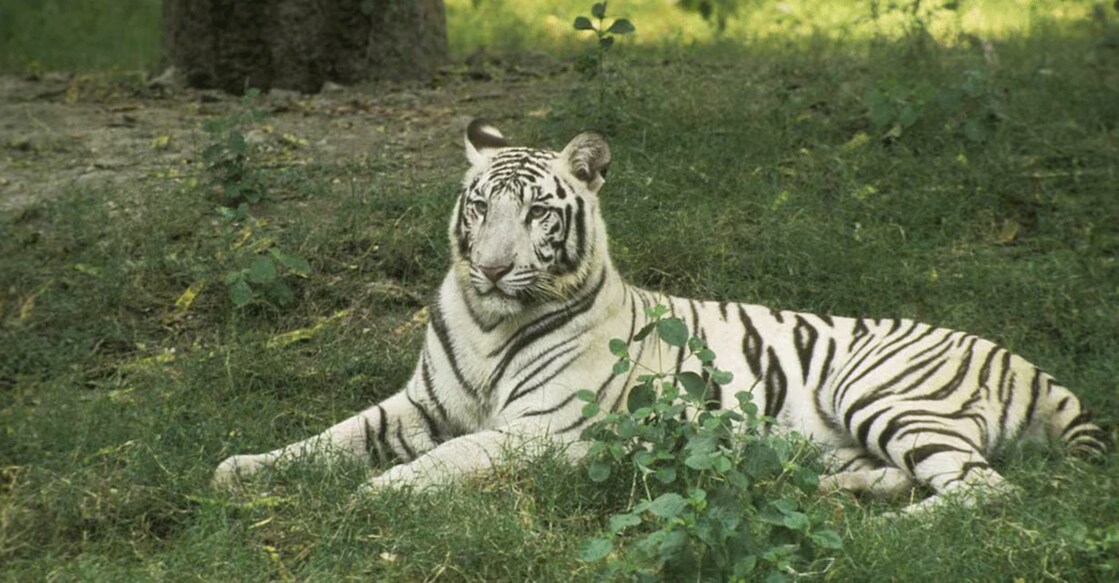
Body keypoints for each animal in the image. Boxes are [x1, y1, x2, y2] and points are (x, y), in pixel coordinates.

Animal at [214, 119, 1107, 513]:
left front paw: (378, 493)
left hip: (881, 391)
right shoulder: (419, 404)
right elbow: (332, 436)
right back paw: (832, 488)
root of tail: (1028, 363)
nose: (494, 266)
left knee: (982, 490)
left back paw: (884, 534)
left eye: (537, 211)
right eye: (478, 206)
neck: (488, 319)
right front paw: (242, 469)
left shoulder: (538, 428)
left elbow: (450, 457)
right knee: (909, 474)